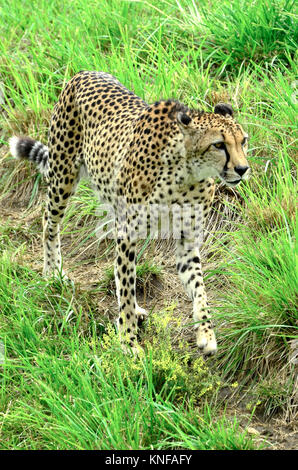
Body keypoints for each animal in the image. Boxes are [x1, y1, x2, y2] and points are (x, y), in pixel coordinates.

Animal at [8, 71, 249, 354]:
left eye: (243, 141)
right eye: (219, 144)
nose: (243, 169)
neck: (187, 174)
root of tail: (83, 73)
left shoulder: (187, 241)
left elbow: (198, 287)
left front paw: (206, 332)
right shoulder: (128, 233)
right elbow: (125, 284)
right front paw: (128, 341)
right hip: (63, 176)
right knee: (49, 222)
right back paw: (52, 273)